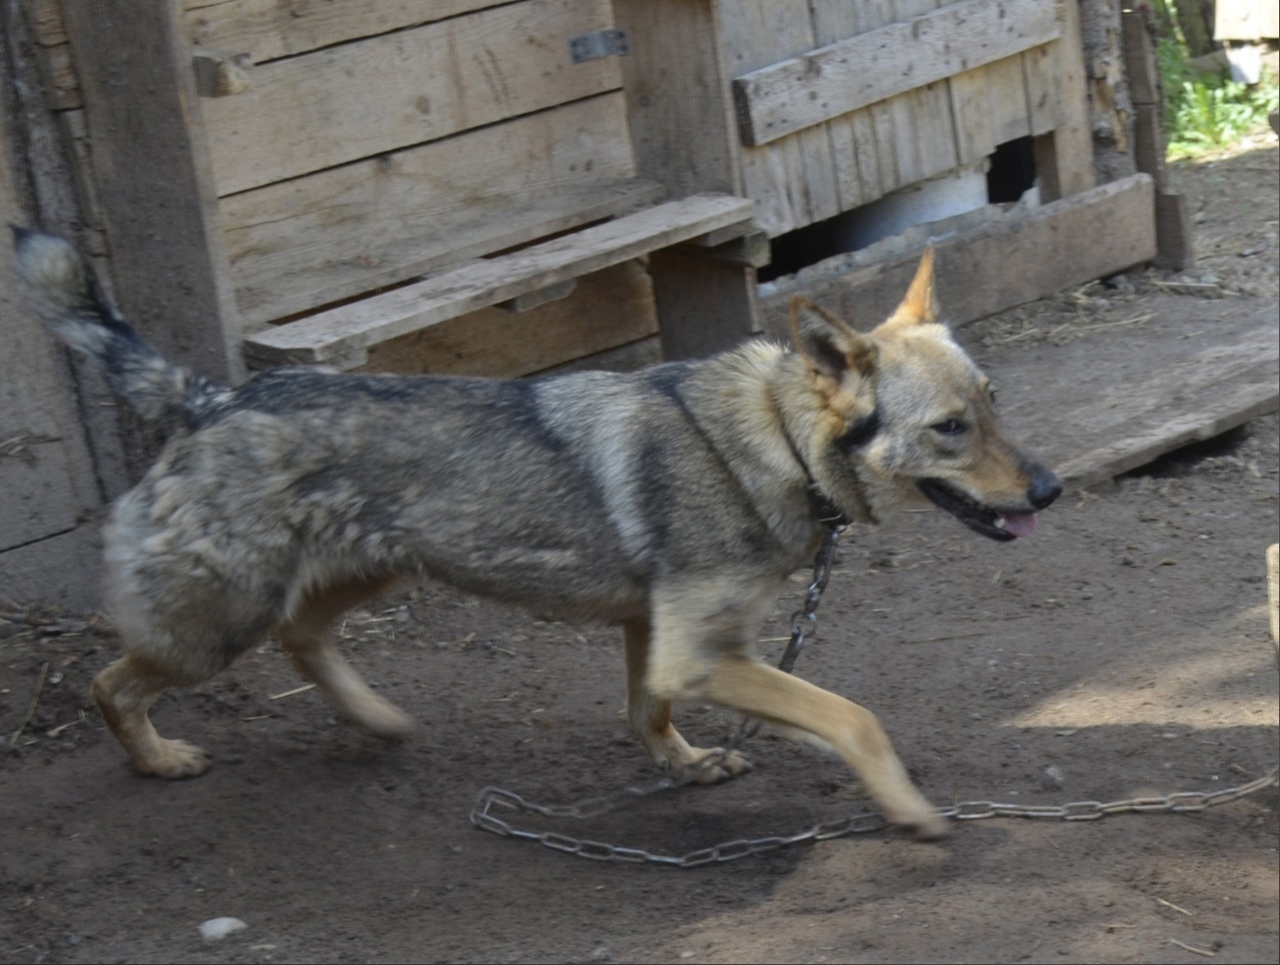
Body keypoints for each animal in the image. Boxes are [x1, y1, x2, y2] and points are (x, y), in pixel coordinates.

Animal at [15, 225, 1059, 834]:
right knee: (112, 682)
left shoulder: (656, 638)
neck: (772, 440)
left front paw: (685, 767)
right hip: (215, 628)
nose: (1049, 489)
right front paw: (909, 809)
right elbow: (853, 715)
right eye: (950, 429)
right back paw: (159, 759)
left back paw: (376, 717)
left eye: (995, 401)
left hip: (375, 573)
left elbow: (647, 712)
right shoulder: (698, 650)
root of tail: (212, 397)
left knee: (304, 637)